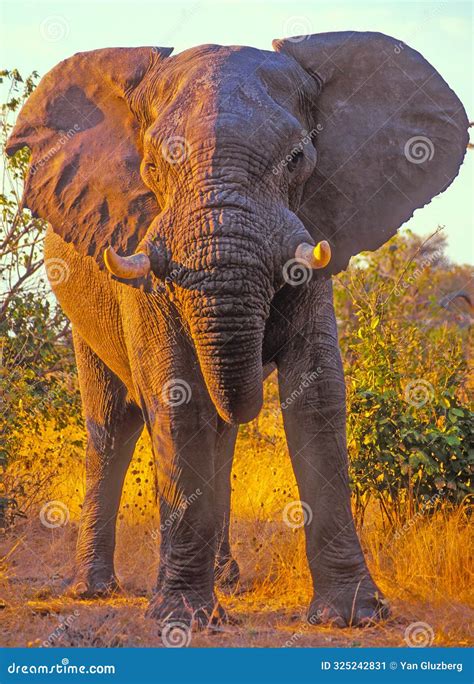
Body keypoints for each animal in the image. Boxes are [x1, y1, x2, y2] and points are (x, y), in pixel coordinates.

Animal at [6, 33, 466, 632]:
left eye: (298, 159)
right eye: (150, 166)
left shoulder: (313, 232)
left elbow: (316, 394)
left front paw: (352, 616)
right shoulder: (139, 246)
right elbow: (177, 397)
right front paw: (180, 616)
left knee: (219, 431)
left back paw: (224, 580)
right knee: (115, 422)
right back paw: (94, 590)